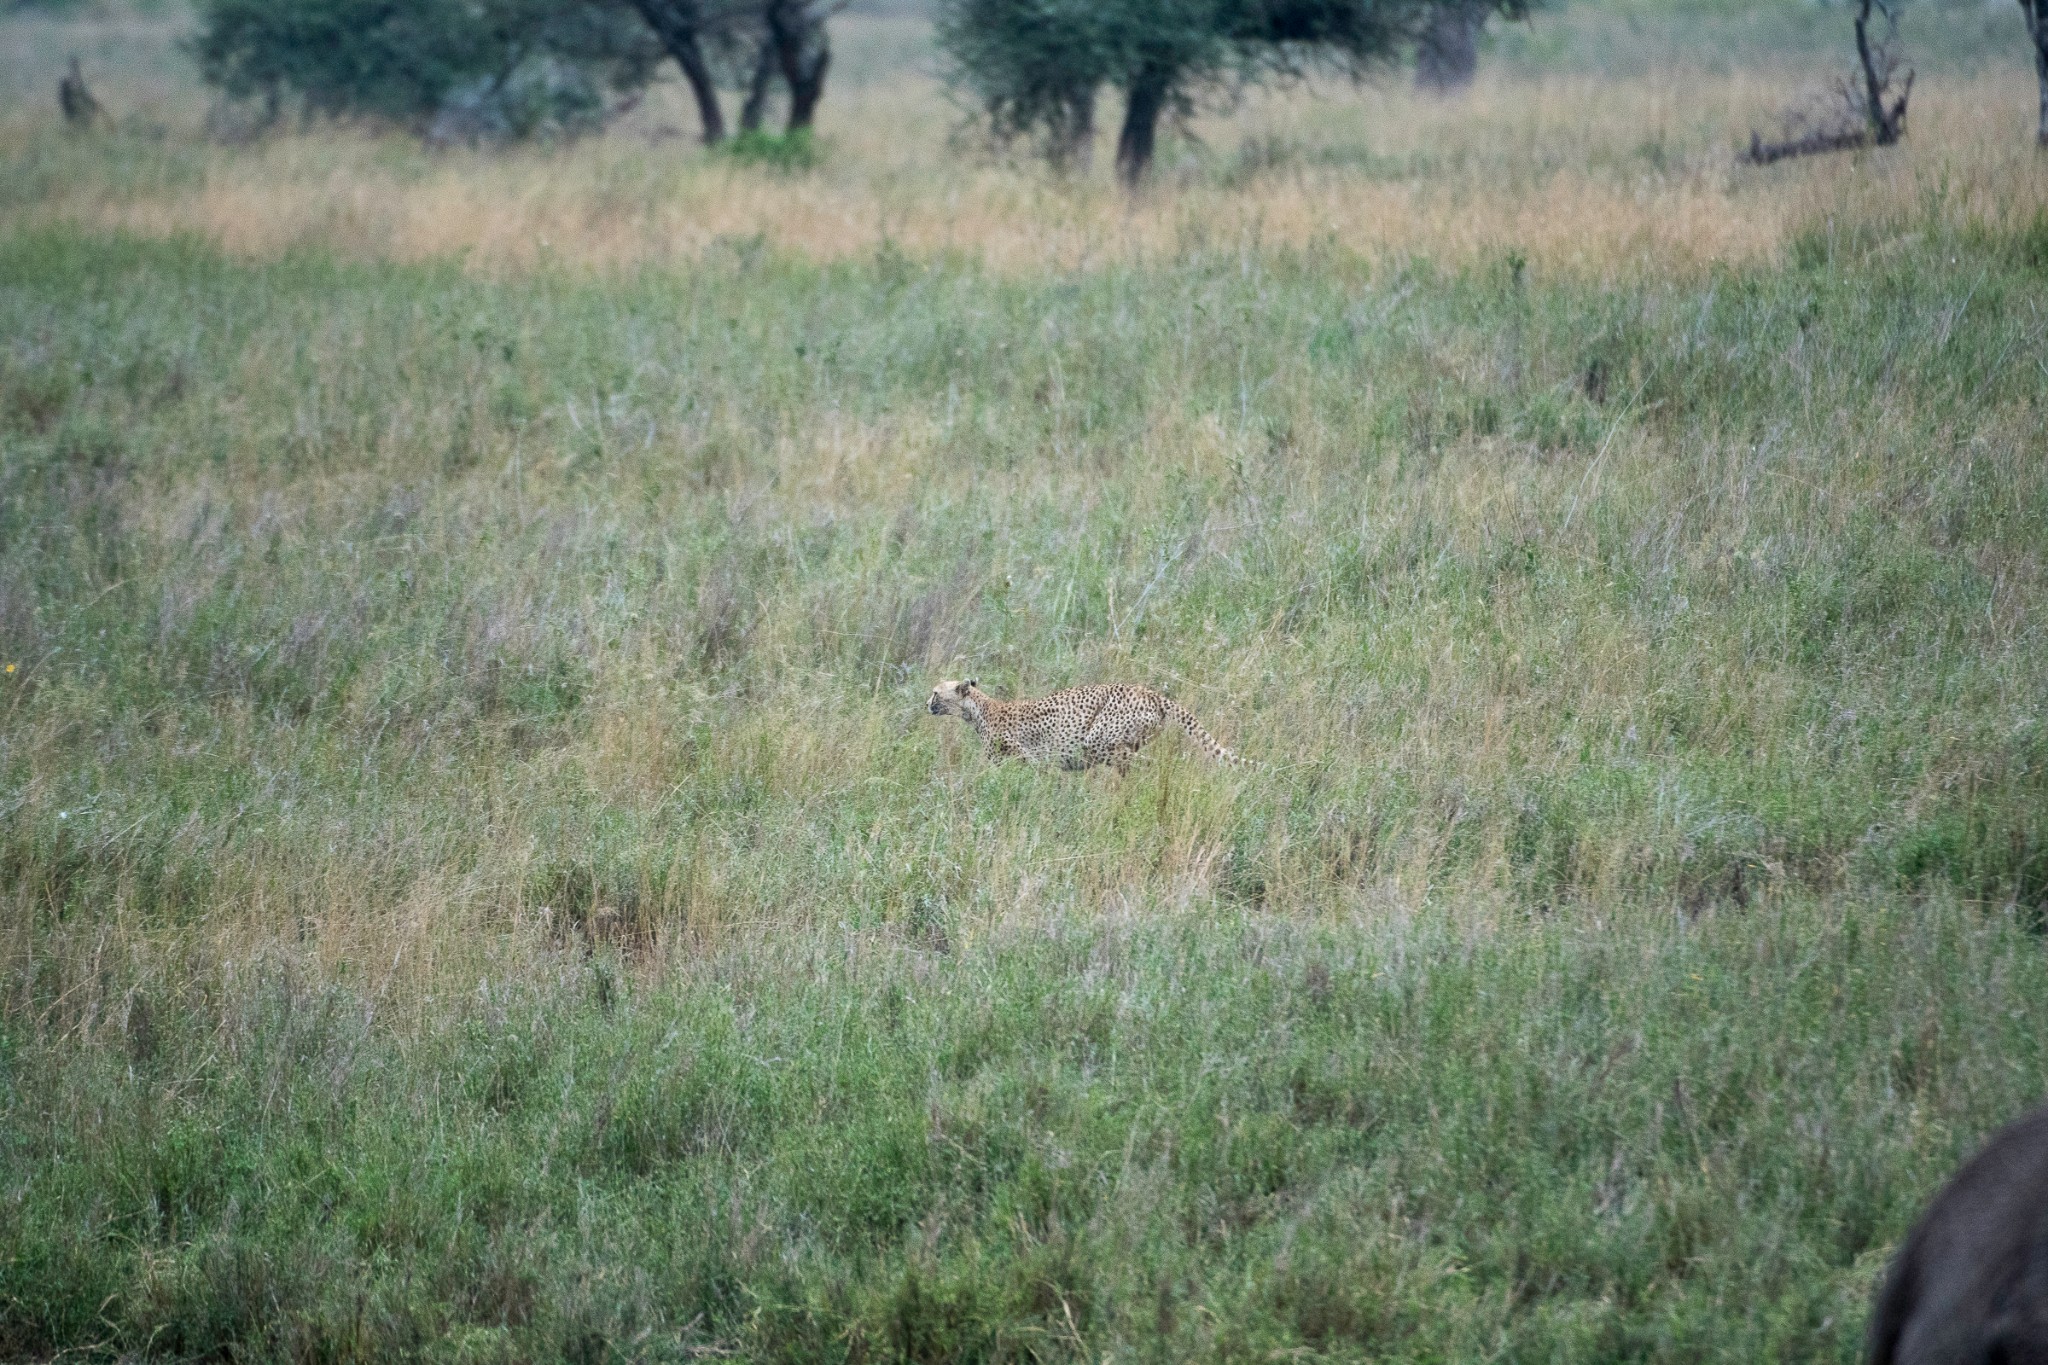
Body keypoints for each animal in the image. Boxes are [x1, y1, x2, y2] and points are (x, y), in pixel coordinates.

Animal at [933, 679, 1245, 773]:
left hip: (1098, 741)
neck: (978, 709)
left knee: (1146, 763)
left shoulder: (1020, 756)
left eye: (936, 693)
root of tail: (1151, 693)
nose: (927, 703)